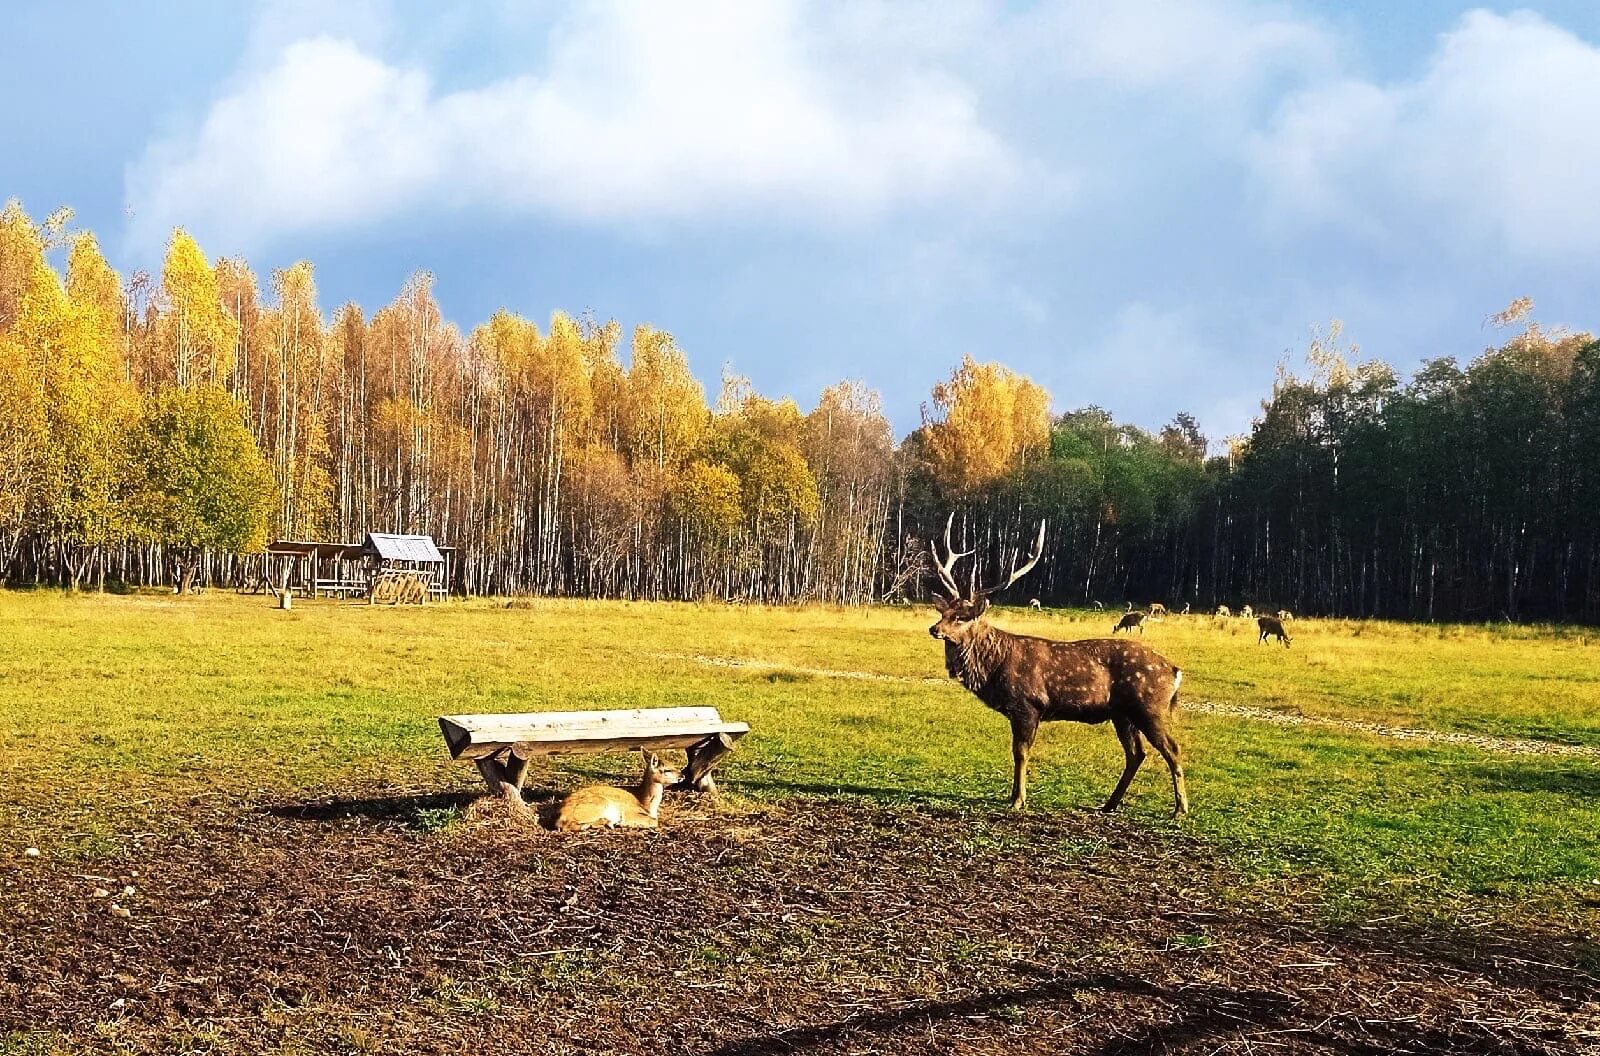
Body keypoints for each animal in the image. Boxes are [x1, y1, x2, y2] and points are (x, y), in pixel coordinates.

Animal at [928, 518, 1190, 816]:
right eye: (943, 612)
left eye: (962, 617)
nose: (934, 629)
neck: (994, 669)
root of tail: (1175, 671)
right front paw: (1013, 796)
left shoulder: (1028, 705)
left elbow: (1020, 752)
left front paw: (1018, 800)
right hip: (1122, 714)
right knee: (1136, 753)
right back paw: (1109, 804)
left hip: (1149, 707)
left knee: (1172, 748)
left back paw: (1180, 809)